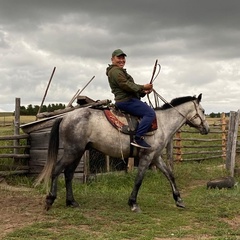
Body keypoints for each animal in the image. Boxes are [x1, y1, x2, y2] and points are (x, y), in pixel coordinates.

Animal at [36, 94, 210, 212]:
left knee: (69, 174)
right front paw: (133, 203)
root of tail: (65, 117)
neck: (162, 123)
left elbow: (170, 175)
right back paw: (50, 199)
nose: (207, 129)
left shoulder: (155, 157)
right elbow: (139, 180)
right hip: (72, 151)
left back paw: (71, 201)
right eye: (202, 110)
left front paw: (179, 199)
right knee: (57, 170)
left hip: (78, 152)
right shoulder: (147, 157)